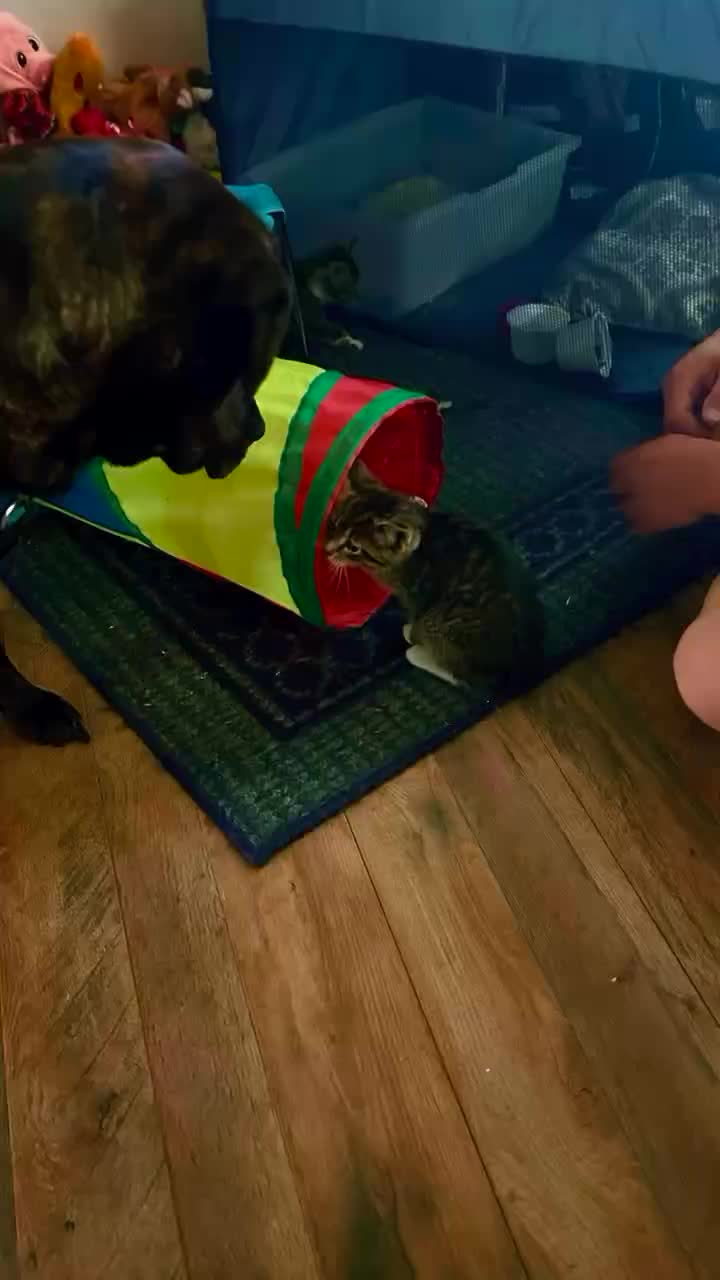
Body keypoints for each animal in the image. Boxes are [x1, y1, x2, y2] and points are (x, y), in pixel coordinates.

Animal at [324, 462, 544, 692]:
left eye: (353, 547)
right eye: (335, 522)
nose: (327, 550)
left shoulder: (419, 594)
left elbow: (417, 618)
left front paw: (412, 633)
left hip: (446, 621)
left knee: (466, 677)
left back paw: (418, 653)